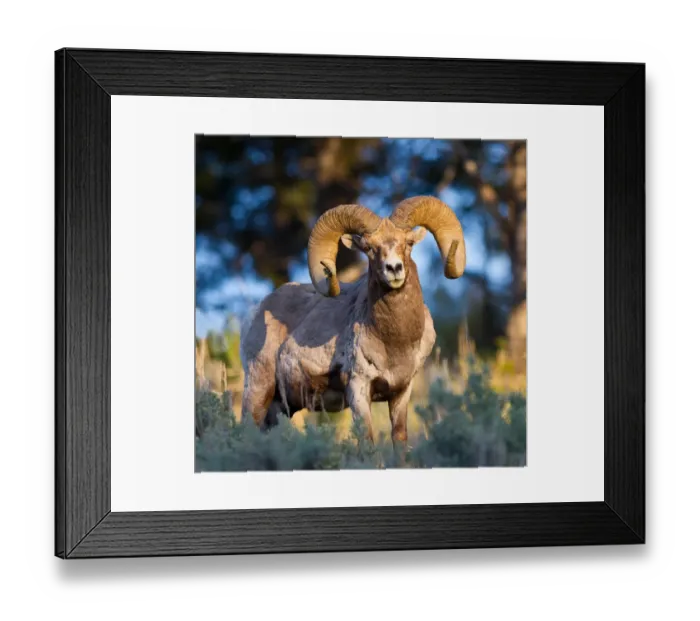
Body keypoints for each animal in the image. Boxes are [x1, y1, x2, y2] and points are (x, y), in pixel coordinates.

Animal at [240, 196, 466, 450]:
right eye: (369, 248)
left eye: (408, 243)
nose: (394, 269)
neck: (395, 343)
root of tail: (256, 312)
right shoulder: (359, 390)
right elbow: (367, 442)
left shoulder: (401, 393)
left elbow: (399, 440)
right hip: (258, 390)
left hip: (280, 408)